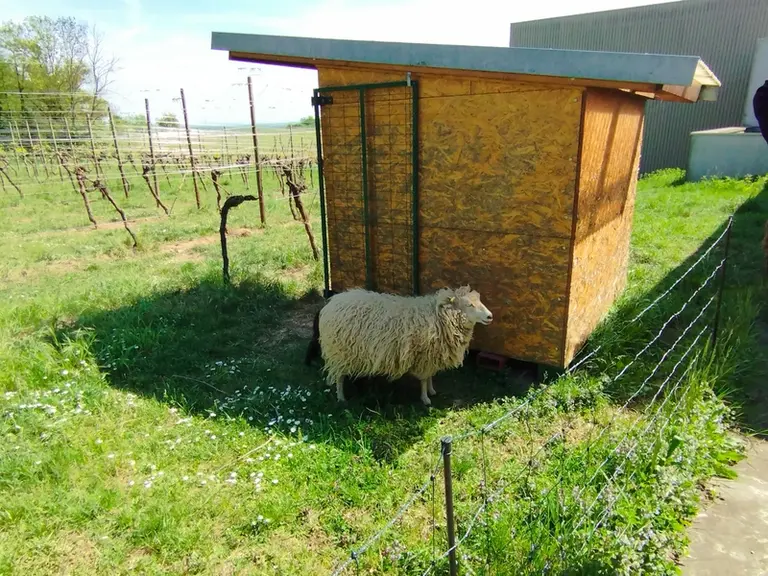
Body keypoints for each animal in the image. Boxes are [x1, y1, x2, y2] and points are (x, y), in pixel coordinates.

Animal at [316, 285, 493, 406]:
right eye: (469, 304)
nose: (490, 316)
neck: (440, 317)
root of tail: (331, 304)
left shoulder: (431, 357)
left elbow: (430, 376)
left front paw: (432, 391)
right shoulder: (424, 358)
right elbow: (424, 379)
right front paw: (425, 398)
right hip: (339, 353)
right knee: (339, 377)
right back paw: (341, 398)